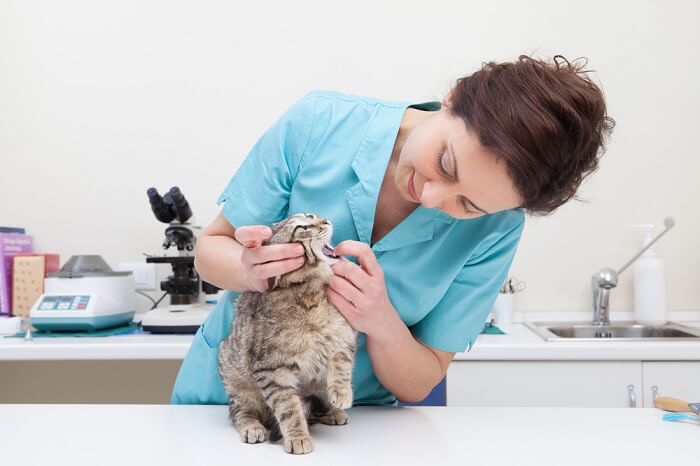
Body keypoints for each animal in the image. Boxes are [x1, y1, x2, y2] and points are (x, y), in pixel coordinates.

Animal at [219, 213, 358, 454]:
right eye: (302, 227)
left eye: (312, 215)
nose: (326, 220)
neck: (314, 291)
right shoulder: (272, 369)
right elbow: (288, 408)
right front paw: (298, 437)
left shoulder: (344, 335)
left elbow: (341, 361)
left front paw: (341, 391)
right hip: (235, 378)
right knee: (239, 411)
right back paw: (251, 426)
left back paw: (331, 412)